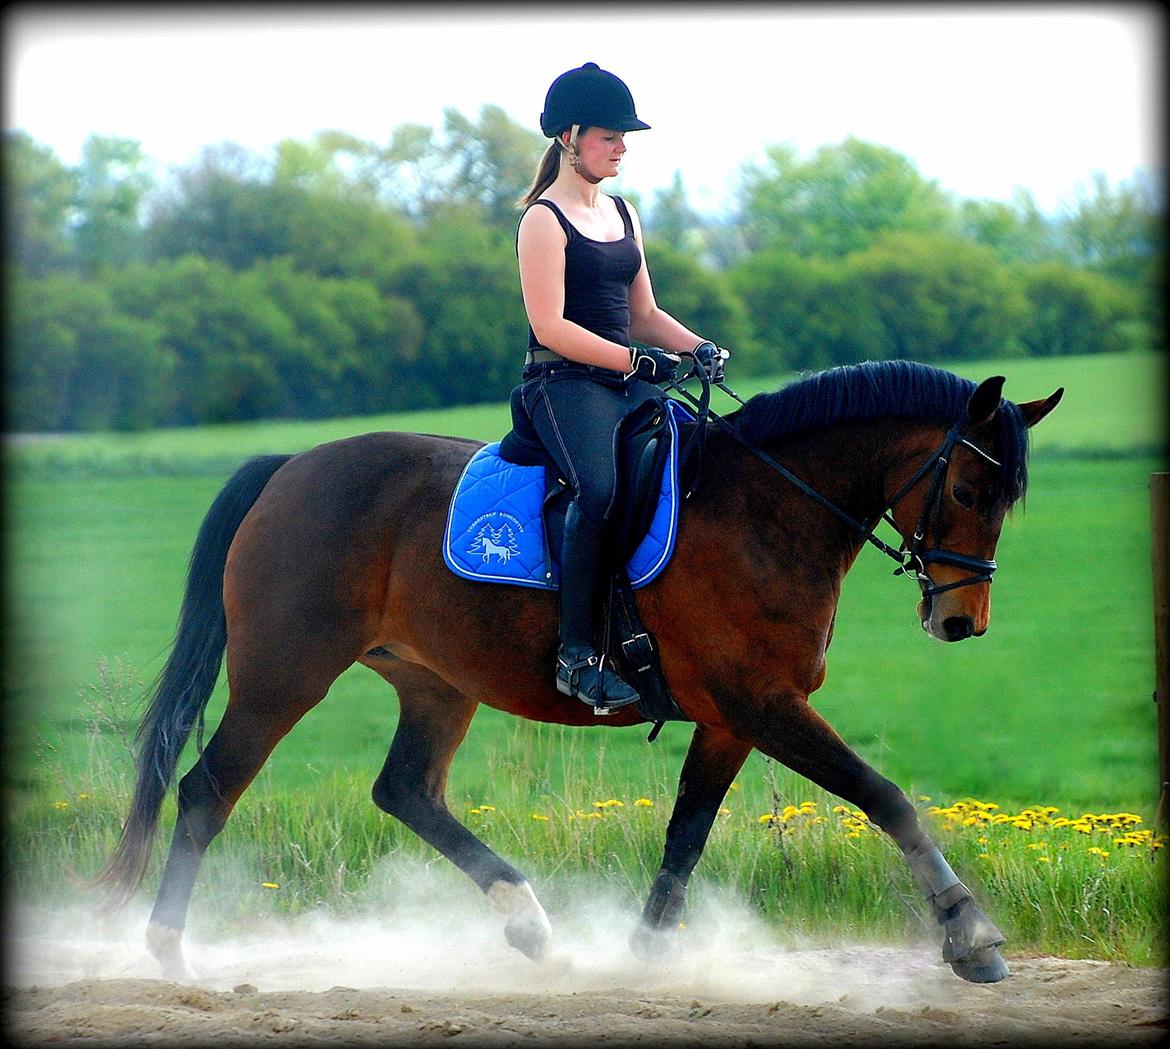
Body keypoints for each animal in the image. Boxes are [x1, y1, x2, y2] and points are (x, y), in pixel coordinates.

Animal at [93, 357, 1062, 982]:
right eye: (968, 490)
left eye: (1007, 502)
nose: (961, 621)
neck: (765, 507)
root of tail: (290, 465)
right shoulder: (765, 703)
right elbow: (885, 796)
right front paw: (970, 933)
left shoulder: (730, 719)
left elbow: (686, 834)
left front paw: (649, 952)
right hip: (285, 672)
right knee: (208, 787)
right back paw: (169, 948)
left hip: (437, 681)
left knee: (405, 789)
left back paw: (529, 921)